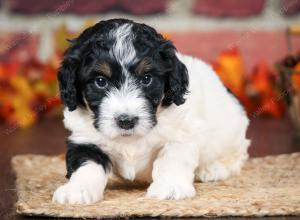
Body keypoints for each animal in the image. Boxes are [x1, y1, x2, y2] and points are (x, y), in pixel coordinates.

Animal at [52, 18, 250, 205]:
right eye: (100, 81)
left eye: (146, 79)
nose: (126, 121)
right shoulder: (85, 139)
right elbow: (86, 165)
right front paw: (77, 190)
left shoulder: (180, 135)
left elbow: (172, 159)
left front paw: (171, 187)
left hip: (232, 130)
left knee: (237, 155)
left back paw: (213, 169)